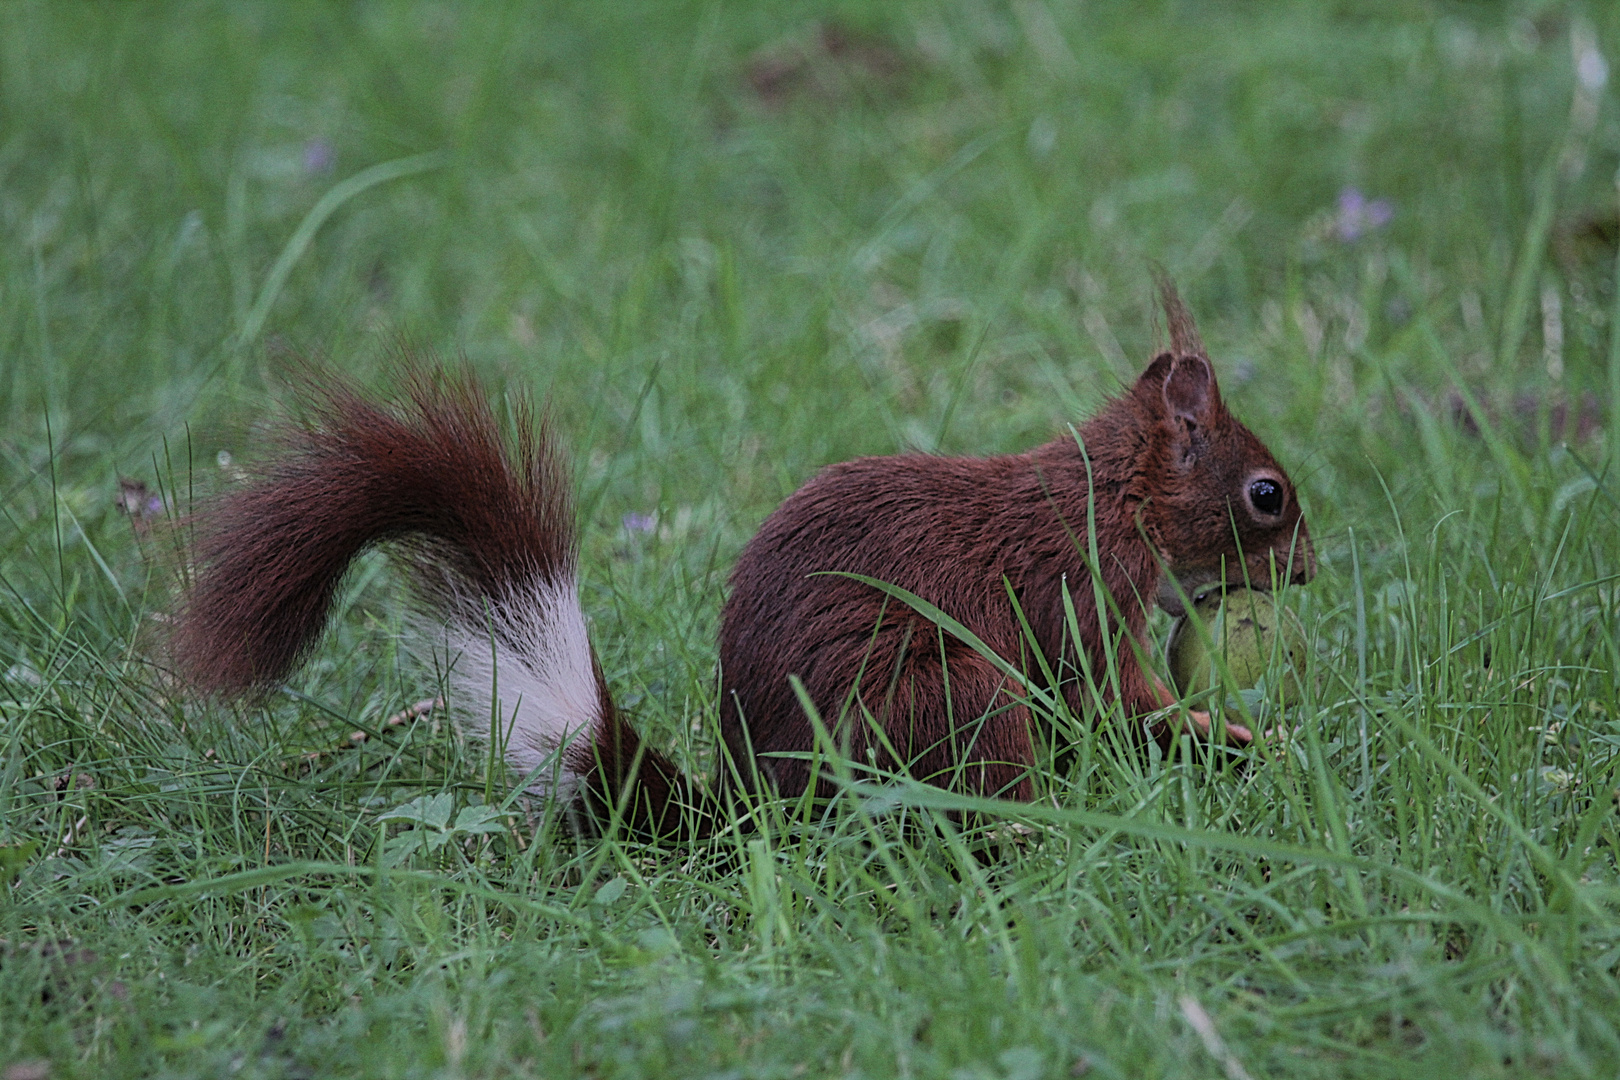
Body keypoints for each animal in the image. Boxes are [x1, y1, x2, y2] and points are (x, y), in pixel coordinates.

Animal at [167, 281, 1315, 835]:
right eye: (1267, 496)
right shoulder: (1075, 593)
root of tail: (759, 805)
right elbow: (1109, 698)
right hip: (950, 698)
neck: (1108, 497)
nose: (1308, 572)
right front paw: (1240, 740)